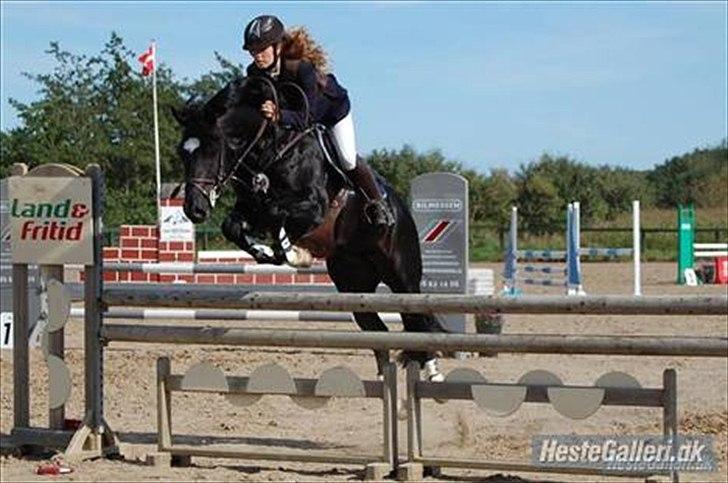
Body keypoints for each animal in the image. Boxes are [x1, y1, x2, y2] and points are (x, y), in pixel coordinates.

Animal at [173, 77, 446, 378]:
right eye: (182, 153)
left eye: (212, 148)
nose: (194, 209)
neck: (268, 149)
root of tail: (401, 209)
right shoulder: (249, 207)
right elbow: (233, 225)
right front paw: (266, 251)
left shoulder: (314, 207)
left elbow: (276, 213)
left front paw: (293, 253)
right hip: (352, 284)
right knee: (379, 330)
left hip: (402, 275)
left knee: (418, 318)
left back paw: (434, 373)